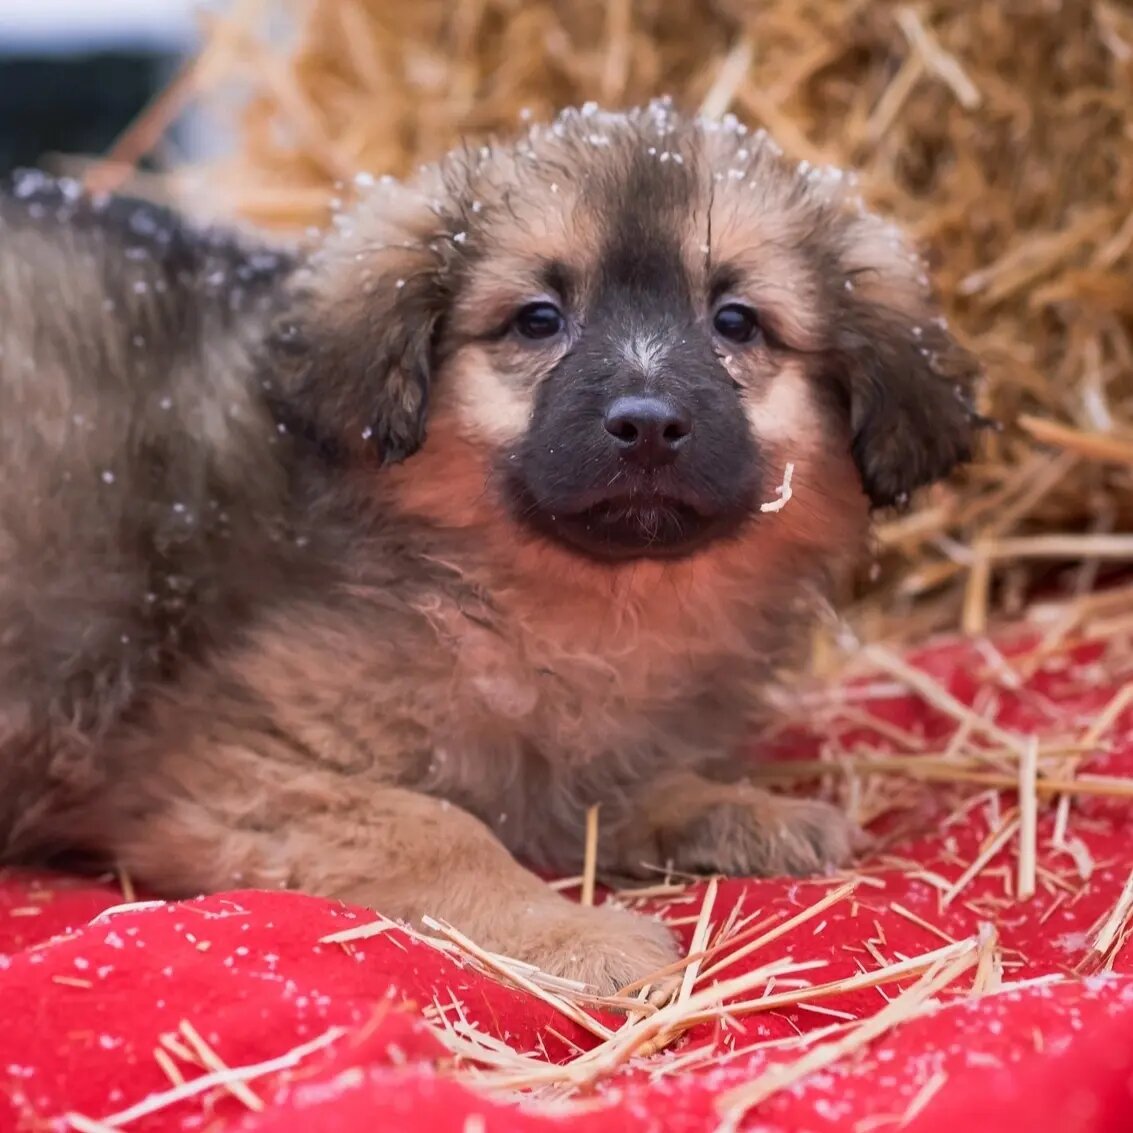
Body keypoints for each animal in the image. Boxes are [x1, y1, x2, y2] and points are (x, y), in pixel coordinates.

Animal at [0, 104, 974, 992]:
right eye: (536, 320)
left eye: (736, 322)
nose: (647, 424)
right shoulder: (219, 765)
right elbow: (439, 830)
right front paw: (577, 936)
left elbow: (608, 786)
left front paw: (733, 809)